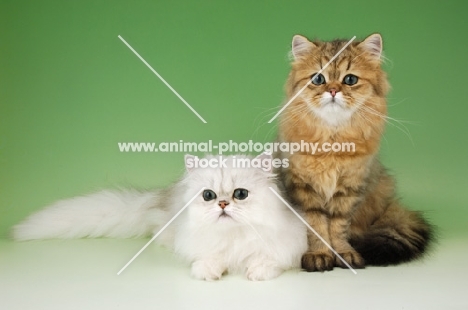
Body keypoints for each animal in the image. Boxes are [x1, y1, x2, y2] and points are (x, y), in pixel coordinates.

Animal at [12, 153, 308, 280]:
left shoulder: (286, 246)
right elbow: (207, 260)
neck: (233, 236)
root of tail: (164, 195)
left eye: (241, 194)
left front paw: (255, 272)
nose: (223, 204)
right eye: (209, 195)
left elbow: (264, 261)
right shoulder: (199, 245)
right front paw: (209, 272)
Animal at [276, 34, 434, 272]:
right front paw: (319, 254)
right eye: (318, 79)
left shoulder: (350, 188)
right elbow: (316, 228)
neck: (332, 142)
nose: (332, 90)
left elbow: (338, 227)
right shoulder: (303, 189)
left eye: (350, 80)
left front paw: (343, 253)